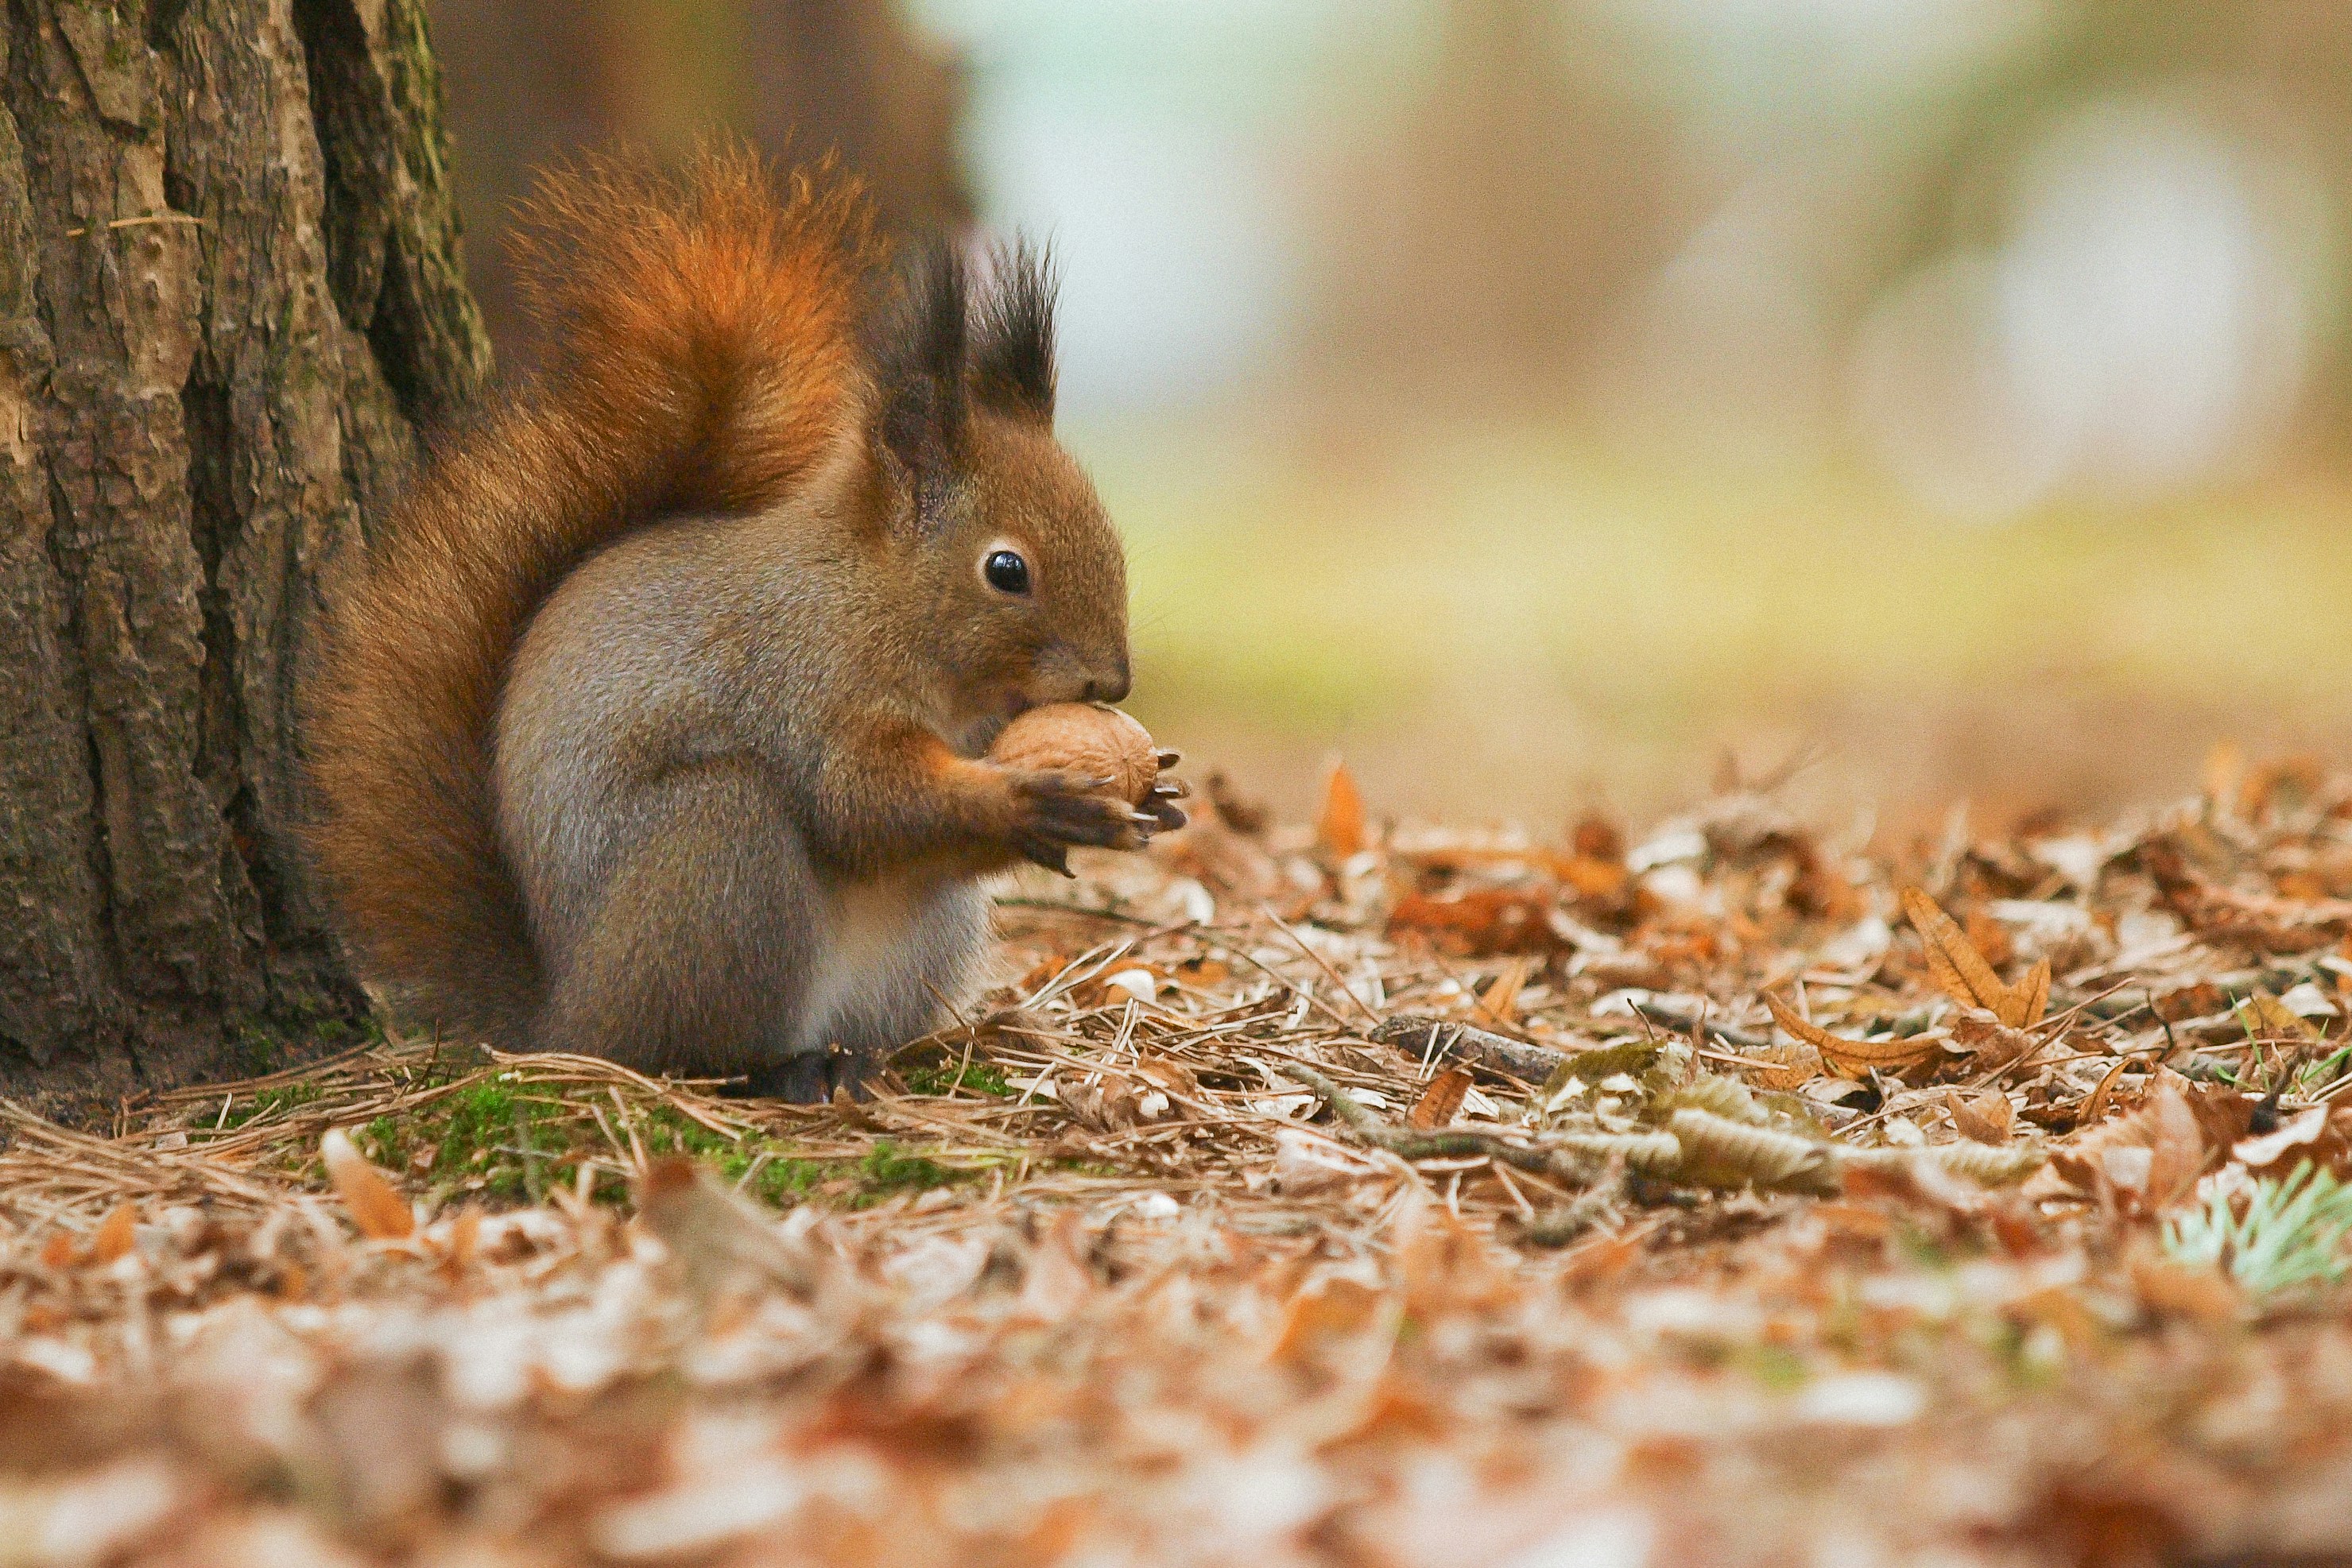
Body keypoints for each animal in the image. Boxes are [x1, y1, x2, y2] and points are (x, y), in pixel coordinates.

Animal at [305, 145, 1185, 1098]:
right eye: (1006, 570)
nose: (1113, 682)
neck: (875, 599)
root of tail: (559, 1016)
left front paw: (1152, 792)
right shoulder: (807, 681)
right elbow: (858, 801)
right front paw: (1030, 800)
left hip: (915, 941)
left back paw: (856, 1059)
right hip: (718, 859)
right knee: (683, 1039)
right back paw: (777, 1070)